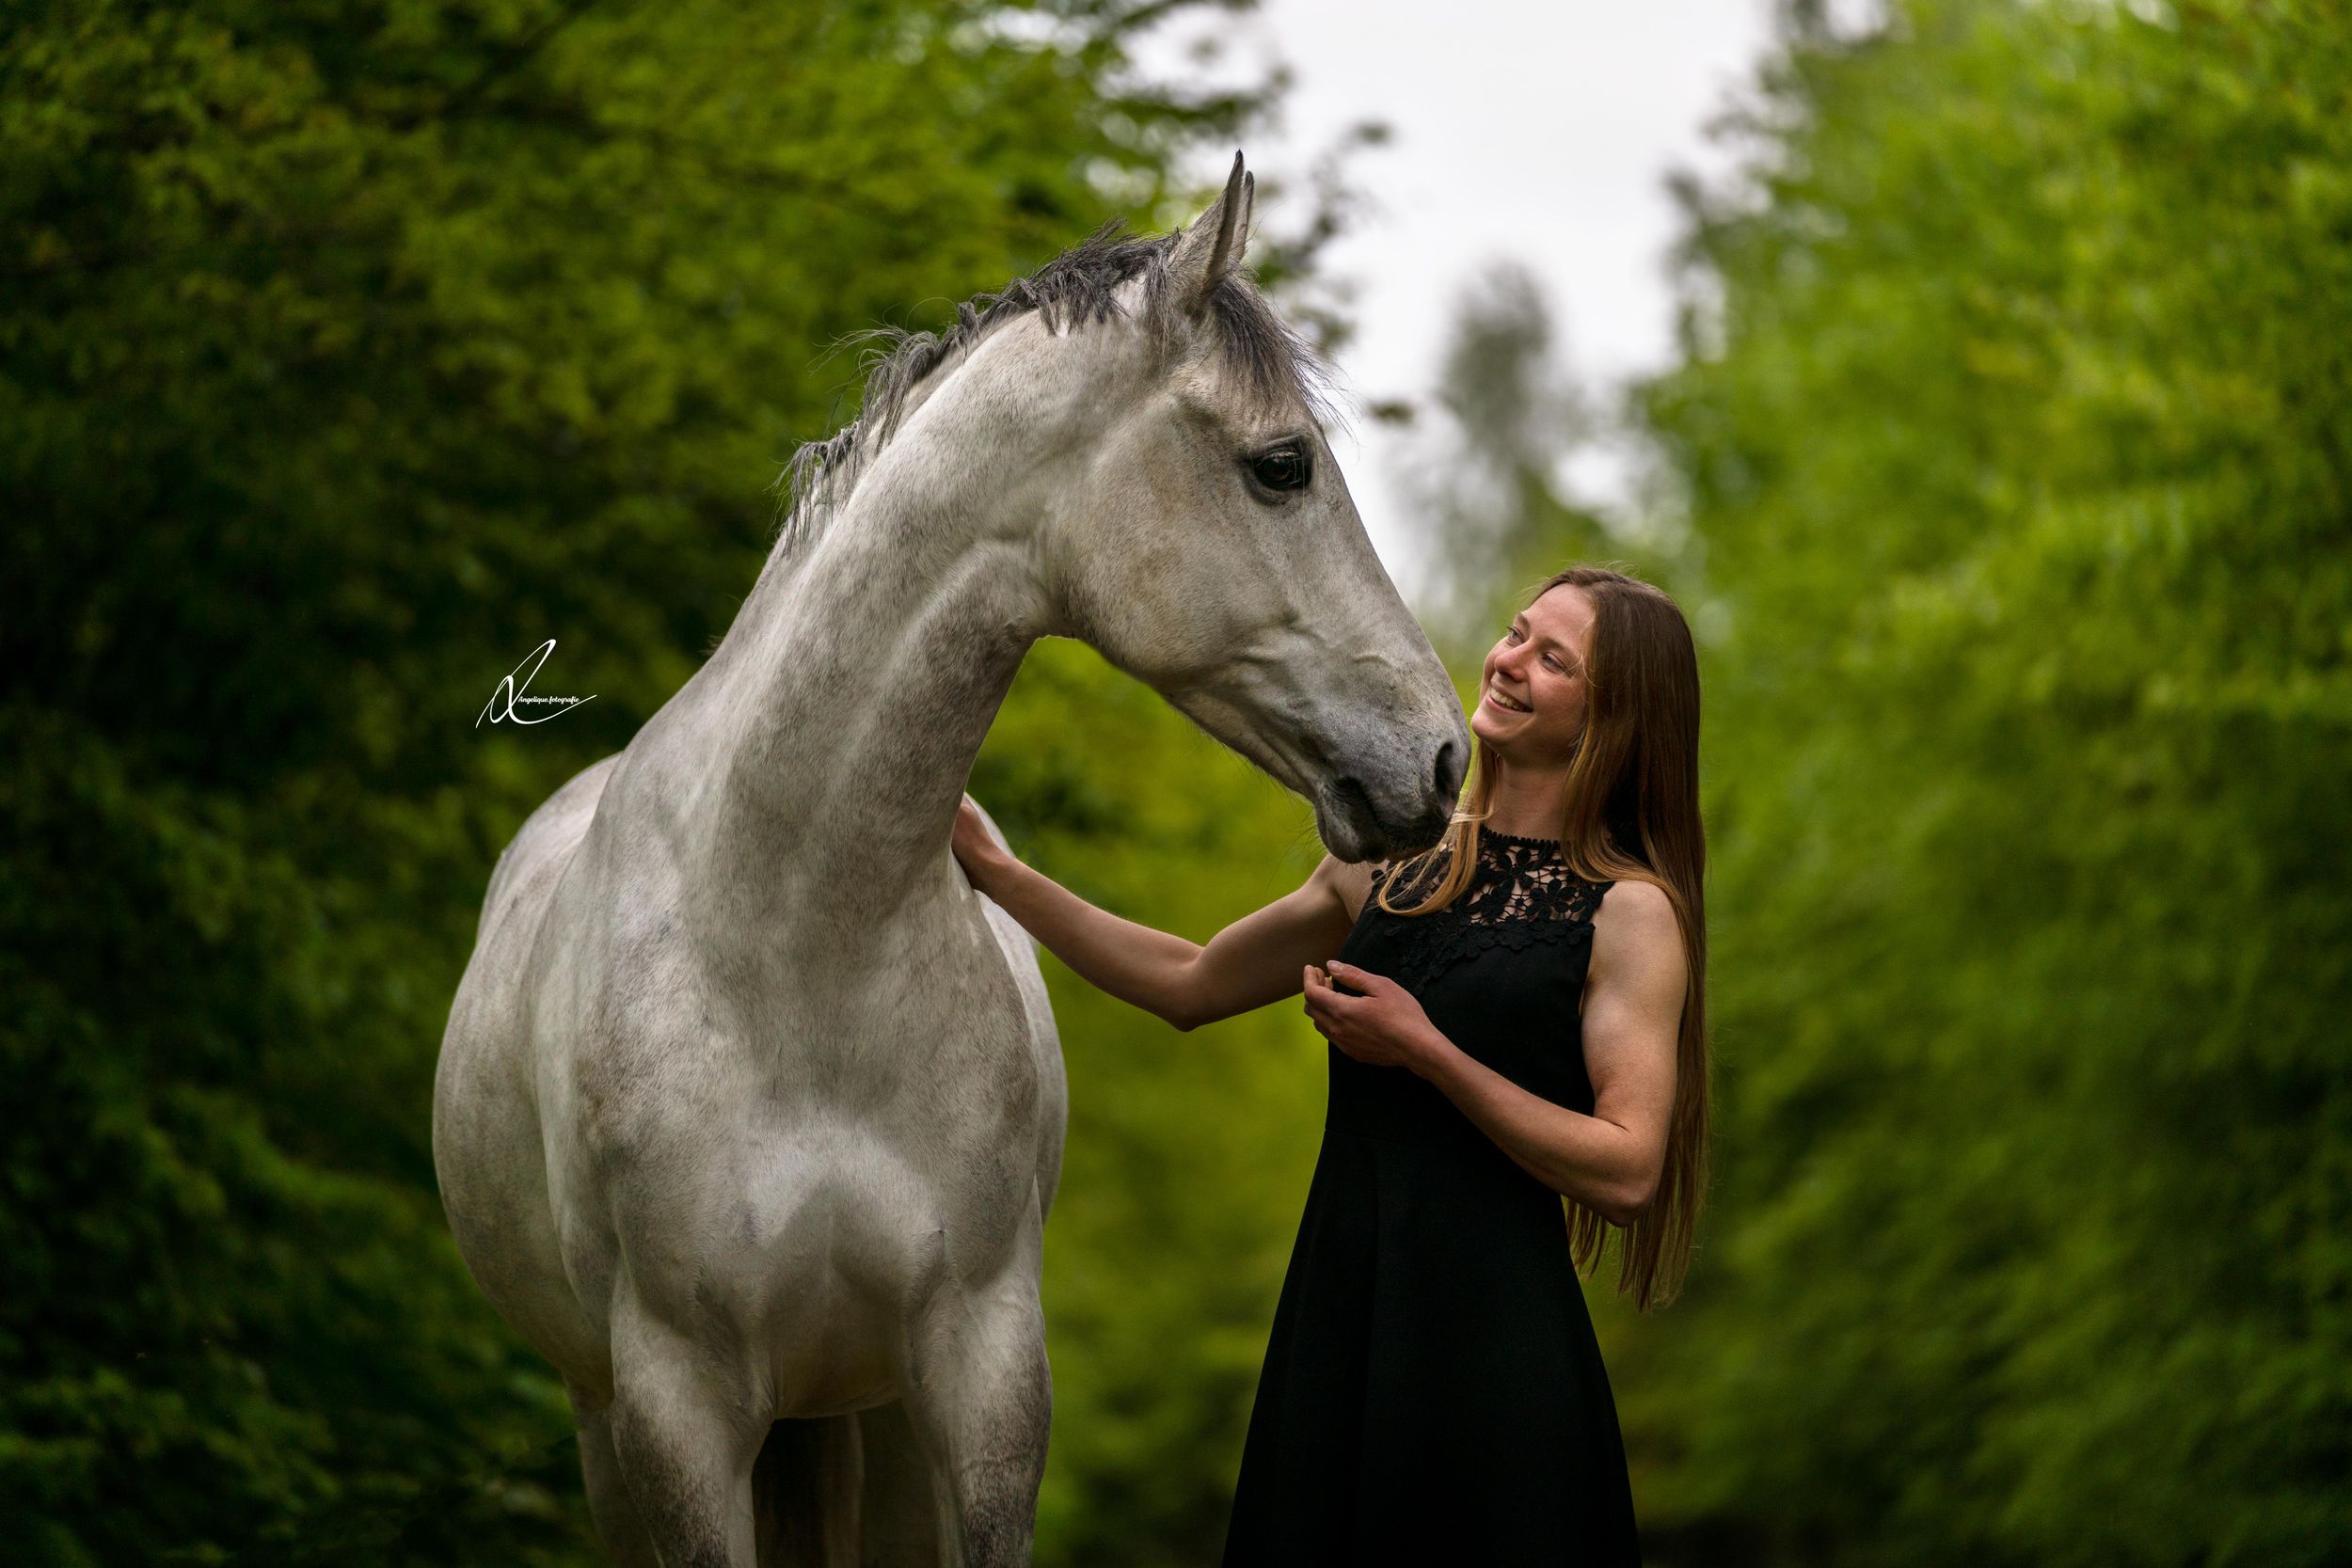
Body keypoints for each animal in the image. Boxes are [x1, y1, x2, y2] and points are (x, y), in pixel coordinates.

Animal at [432, 152, 1469, 1567]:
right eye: (1281, 465)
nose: (1443, 758)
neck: (794, 944)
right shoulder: (674, 1410)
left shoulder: (984, 1374)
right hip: (626, 1431)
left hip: (863, 1424)